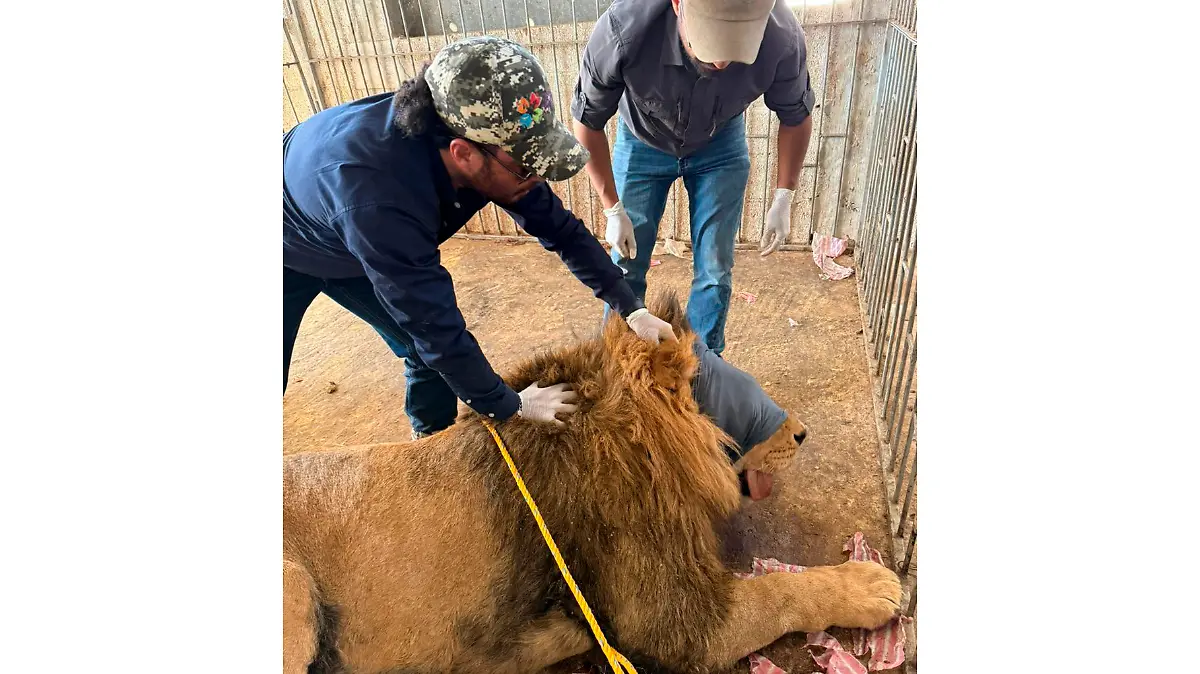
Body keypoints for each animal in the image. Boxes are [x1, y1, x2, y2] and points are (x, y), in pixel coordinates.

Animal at [283, 292, 902, 673]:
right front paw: (869, 584)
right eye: (741, 396)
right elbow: (781, 592)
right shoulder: (677, 623)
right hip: (292, 585)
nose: (803, 433)